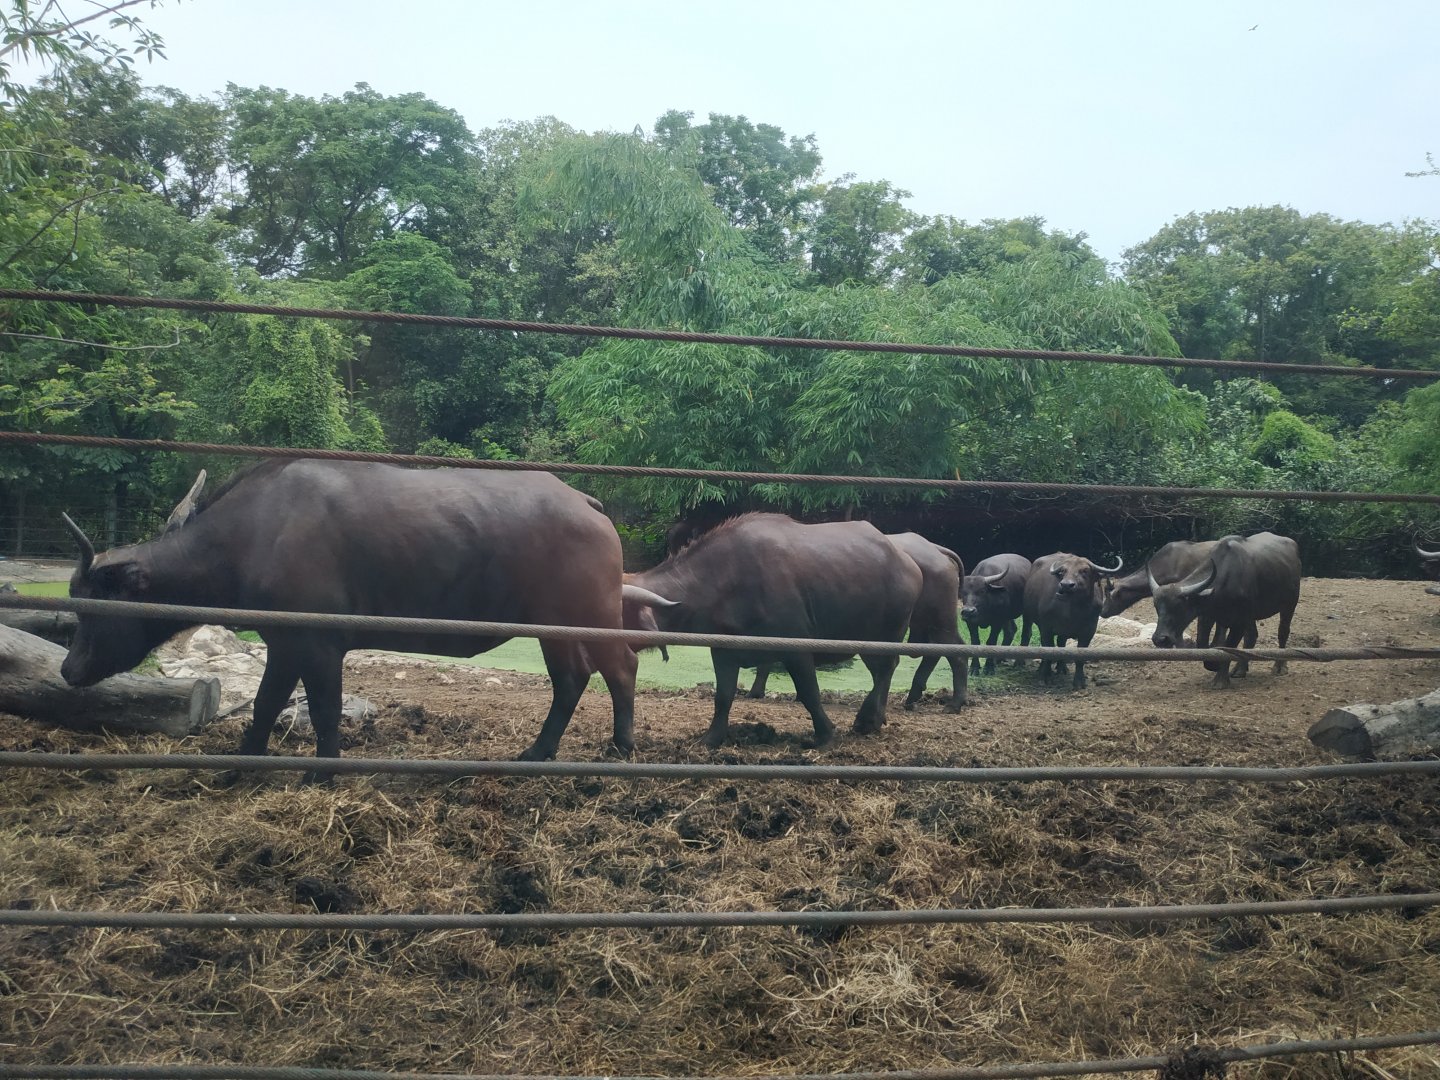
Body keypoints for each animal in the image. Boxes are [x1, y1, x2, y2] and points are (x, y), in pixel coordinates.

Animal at [61, 460, 641, 765]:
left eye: (96, 608)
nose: (69, 669)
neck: (254, 535)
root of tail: (585, 503)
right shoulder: (284, 643)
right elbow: (265, 705)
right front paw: (244, 765)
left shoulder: (319, 646)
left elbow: (323, 712)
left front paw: (322, 775)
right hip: (552, 629)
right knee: (571, 679)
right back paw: (536, 753)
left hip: (590, 616)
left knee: (622, 668)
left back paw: (621, 747)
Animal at [622, 514, 923, 747]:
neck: (725, 579)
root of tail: (907, 562)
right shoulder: (724, 652)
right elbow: (723, 697)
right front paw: (712, 738)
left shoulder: (796, 648)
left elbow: (809, 693)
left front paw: (824, 735)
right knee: (881, 672)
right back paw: (876, 718)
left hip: (885, 636)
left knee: (885, 670)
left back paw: (866, 719)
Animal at [1020, 552, 1124, 689]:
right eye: (1063, 571)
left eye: (1085, 570)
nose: (1066, 585)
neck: (1073, 610)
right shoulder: (1046, 628)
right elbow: (1048, 651)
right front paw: (1044, 677)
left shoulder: (1089, 631)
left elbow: (1079, 656)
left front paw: (1079, 681)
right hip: (1027, 615)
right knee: (1028, 635)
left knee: (1061, 644)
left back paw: (1062, 668)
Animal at [1149, 531, 1301, 688]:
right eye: (1156, 606)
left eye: (1178, 606)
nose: (1160, 639)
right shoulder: (1209, 617)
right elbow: (1205, 643)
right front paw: (1214, 665)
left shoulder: (1239, 622)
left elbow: (1229, 647)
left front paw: (1220, 678)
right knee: (1252, 636)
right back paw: (1240, 669)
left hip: (1289, 604)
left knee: (1282, 632)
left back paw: (1279, 667)